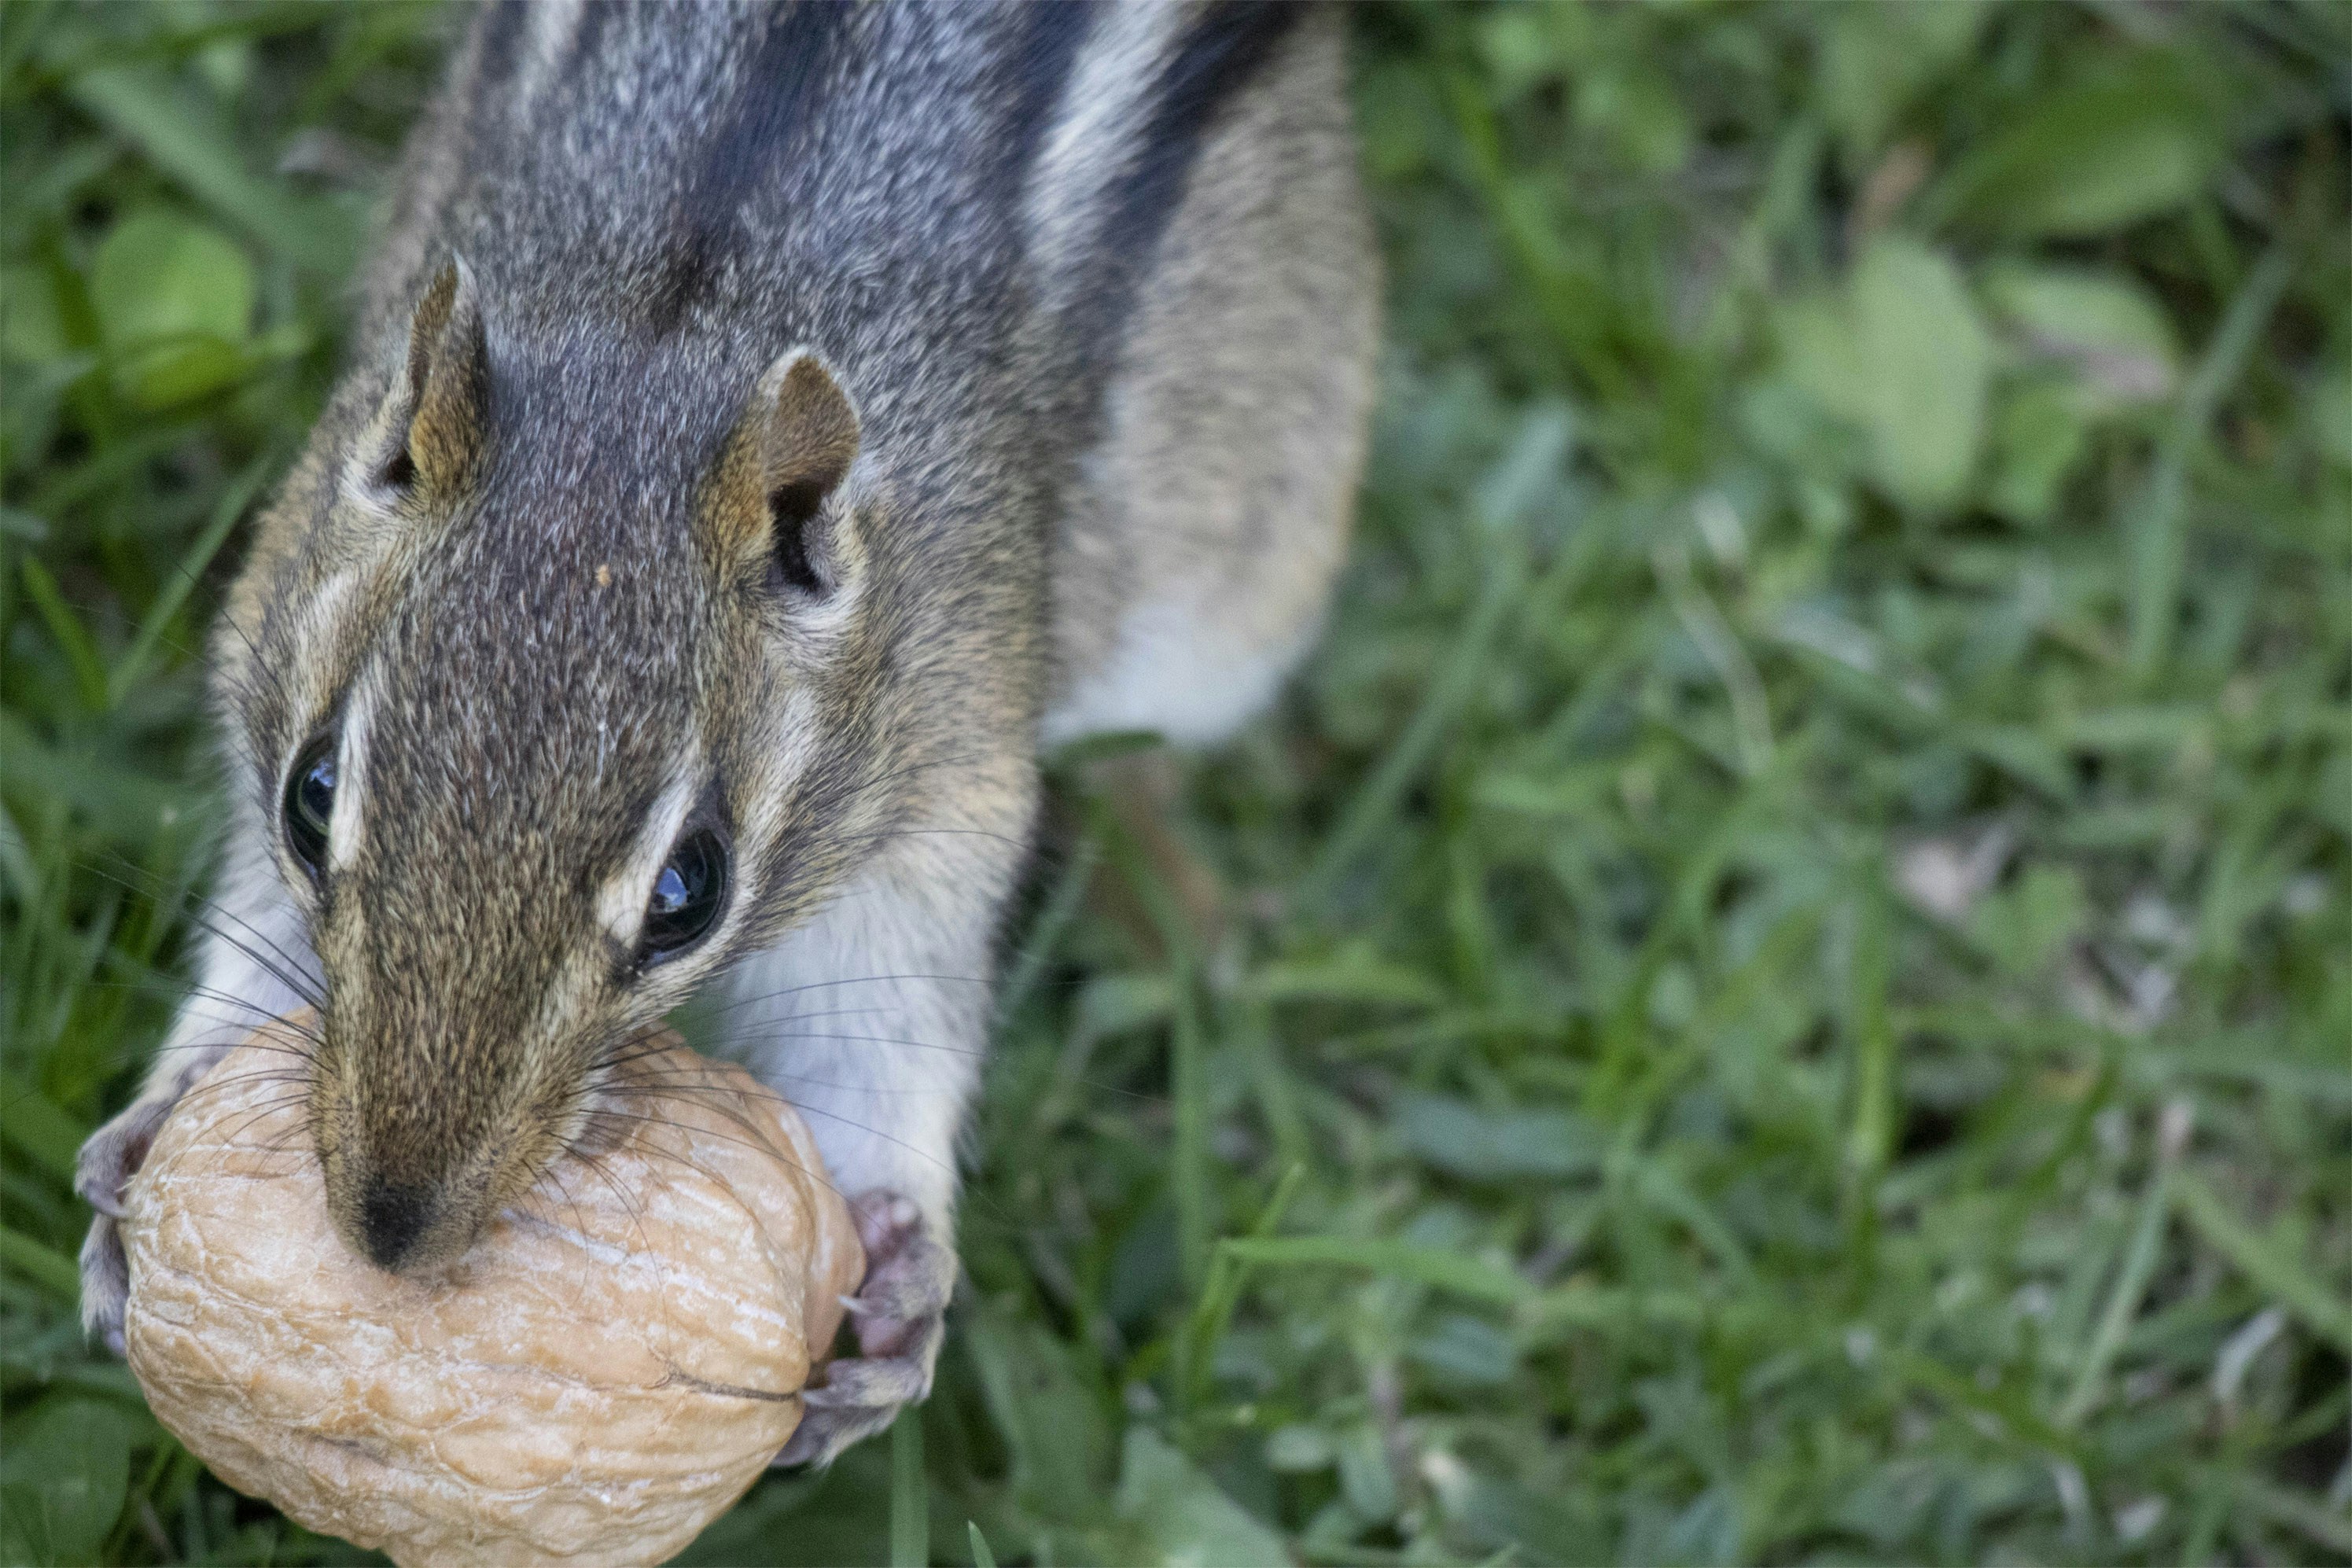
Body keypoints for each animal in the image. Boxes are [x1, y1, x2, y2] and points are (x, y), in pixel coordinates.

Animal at [75, 0, 1375, 1467]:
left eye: (686, 893)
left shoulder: (950, 782)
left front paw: (903, 1267)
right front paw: (160, 1119)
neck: (687, 302)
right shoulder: (266, 622)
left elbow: (890, 1018)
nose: (393, 1229)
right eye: (310, 794)